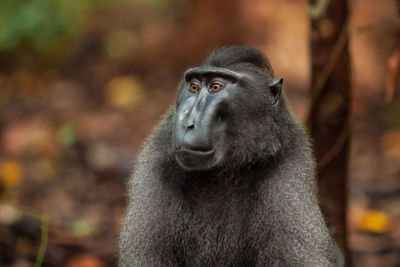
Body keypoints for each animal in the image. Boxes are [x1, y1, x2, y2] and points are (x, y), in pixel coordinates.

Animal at [119, 46, 338, 267]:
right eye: (194, 87)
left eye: (215, 87)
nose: (188, 123)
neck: (226, 170)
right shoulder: (157, 162)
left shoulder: (288, 171)